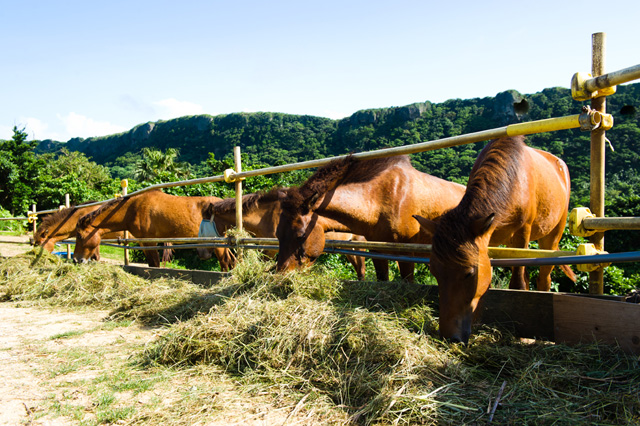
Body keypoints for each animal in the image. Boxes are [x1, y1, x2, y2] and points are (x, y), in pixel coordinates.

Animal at [74, 191, 235, 270]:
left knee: (225, 262)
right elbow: (152, 264)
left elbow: (155, 265)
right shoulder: (144, 243)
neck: (133, 208)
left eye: (80, 236)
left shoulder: (150, 242)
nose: (76, 259)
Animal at [200, 192, 370, 280]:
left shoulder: (272, 249)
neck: (267, 216)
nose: (203, 254)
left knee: (361, 269)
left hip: (359, 244)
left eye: (202, 226)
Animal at [412, 135, 576, 344]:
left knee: (544, 279)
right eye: (435, 272)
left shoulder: (522, 233)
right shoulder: (487, 238)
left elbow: (517, 283)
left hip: (551, 237)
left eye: (469, 274)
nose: (450, 337)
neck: (514, 180)